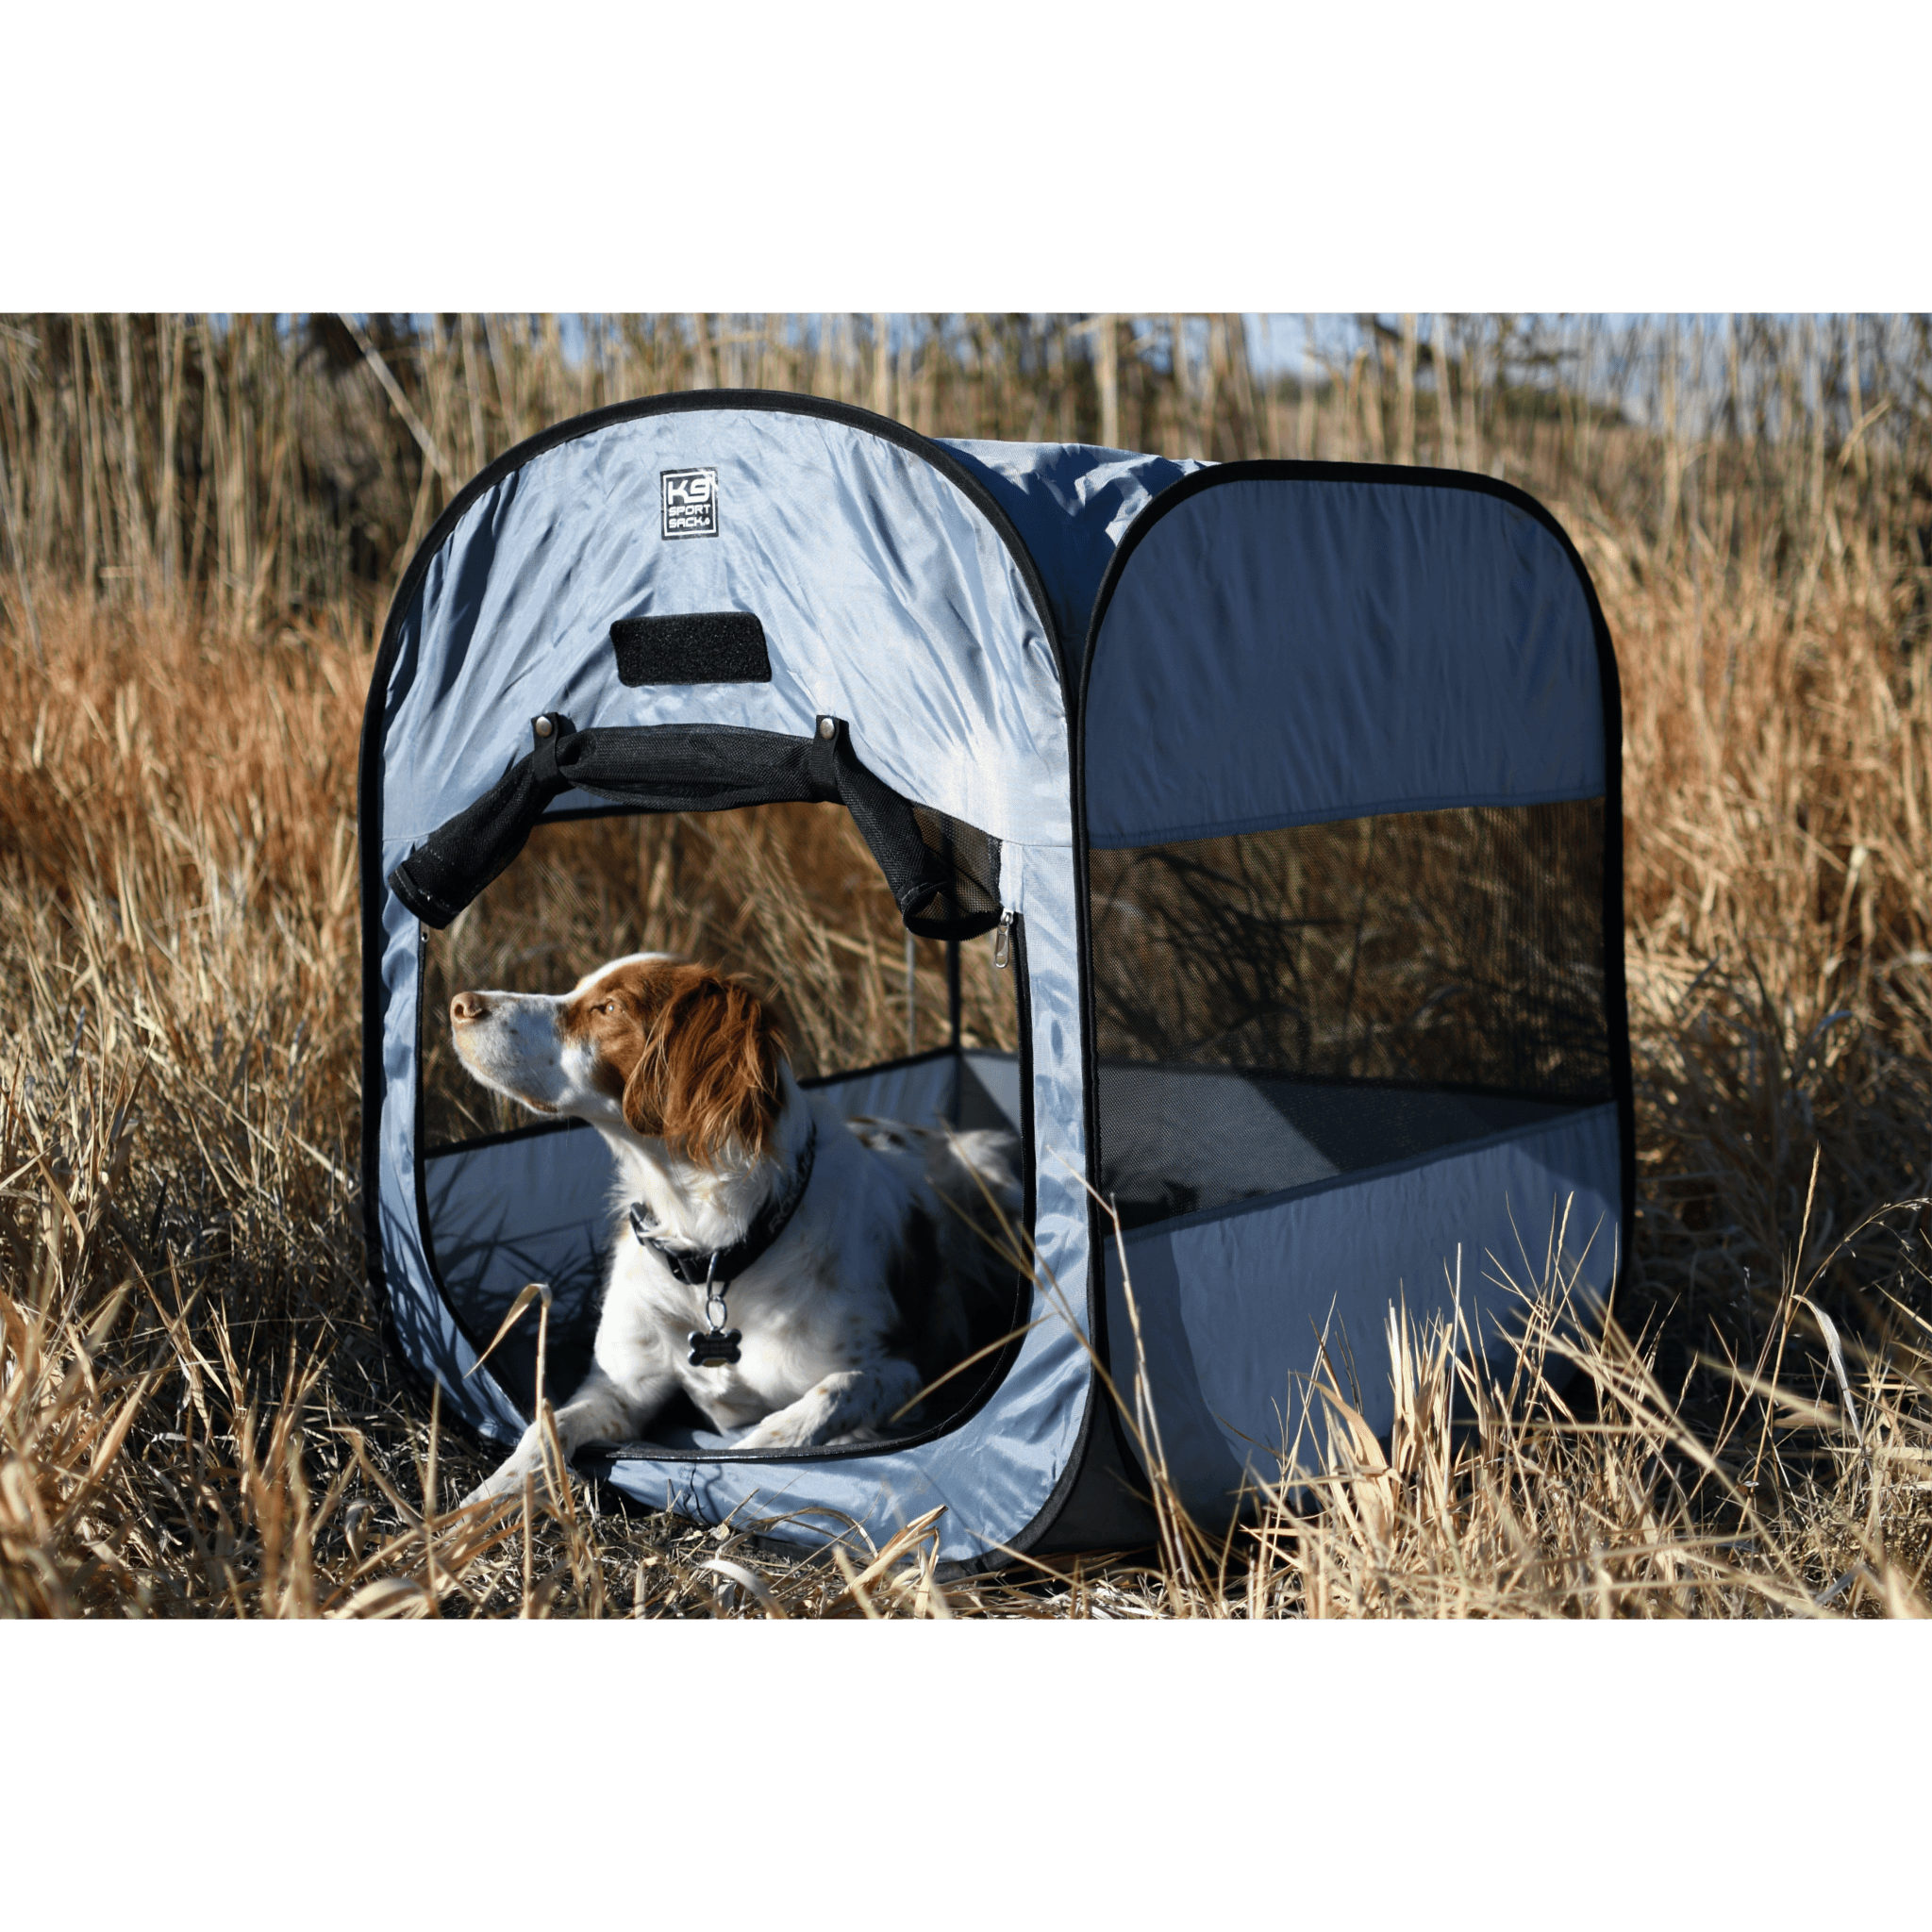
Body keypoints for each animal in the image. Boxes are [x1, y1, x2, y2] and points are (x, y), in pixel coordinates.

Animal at [454, 954, 1027, 1507]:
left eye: (609, 1008)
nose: (461, 1003)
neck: (712, 1245)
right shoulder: (620, 1389)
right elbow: (545, 1428)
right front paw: (472, 1510)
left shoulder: (905, 1370)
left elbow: (823, 1399)